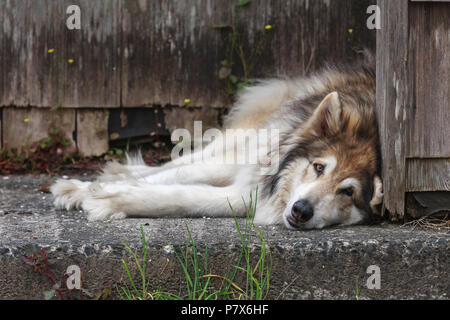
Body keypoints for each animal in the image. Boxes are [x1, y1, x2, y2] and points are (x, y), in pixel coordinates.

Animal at [52, 54, 384, 230]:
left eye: (348, 192)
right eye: (318, 168)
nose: (301, 211)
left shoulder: (245, 195)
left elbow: (180, 197)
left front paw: (111, 198)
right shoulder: (255, 162)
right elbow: (173, 176)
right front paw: (88, 190)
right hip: (243, 143)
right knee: (181, 162)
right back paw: (97, 179)